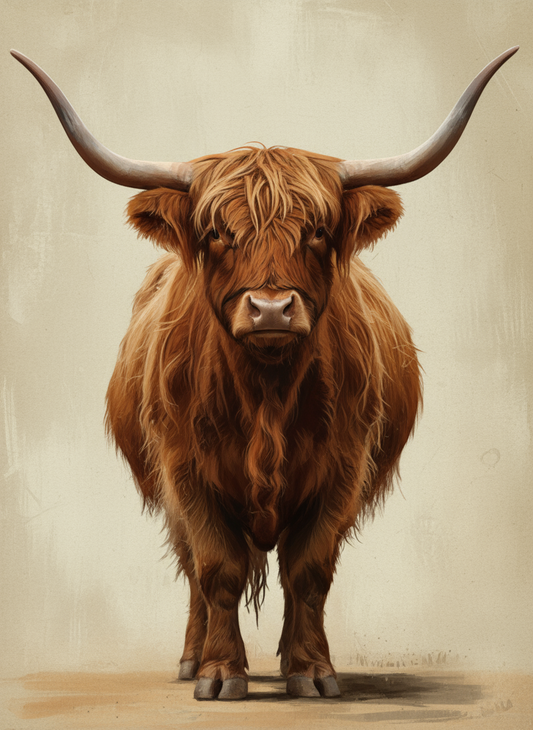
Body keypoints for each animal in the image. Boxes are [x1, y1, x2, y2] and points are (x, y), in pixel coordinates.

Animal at [12, 46, 517, 701]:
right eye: (216, 233)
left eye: (318, 231)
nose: (272, 309)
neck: (267, 398)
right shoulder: (184, 470)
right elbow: (216, 569)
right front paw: (219, 674)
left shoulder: (342, 469)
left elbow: (309, 571)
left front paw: (311, 671)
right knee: (193, 574)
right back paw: (189, 658)